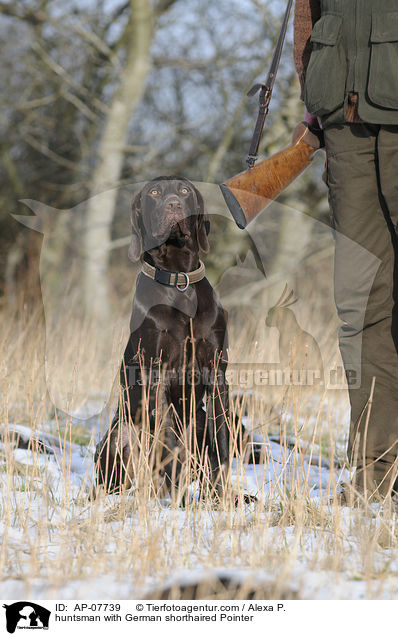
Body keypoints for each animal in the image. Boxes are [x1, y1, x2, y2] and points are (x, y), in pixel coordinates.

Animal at [94, 178, 230, 496]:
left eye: (185, 191)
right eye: (154, 193)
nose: (174, 206)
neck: (179, 280)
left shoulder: (217, 374)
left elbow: (221, 444)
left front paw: (223, 498)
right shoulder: (156, 374)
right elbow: (168, 444)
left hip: (198, 420)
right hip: (120, 434)